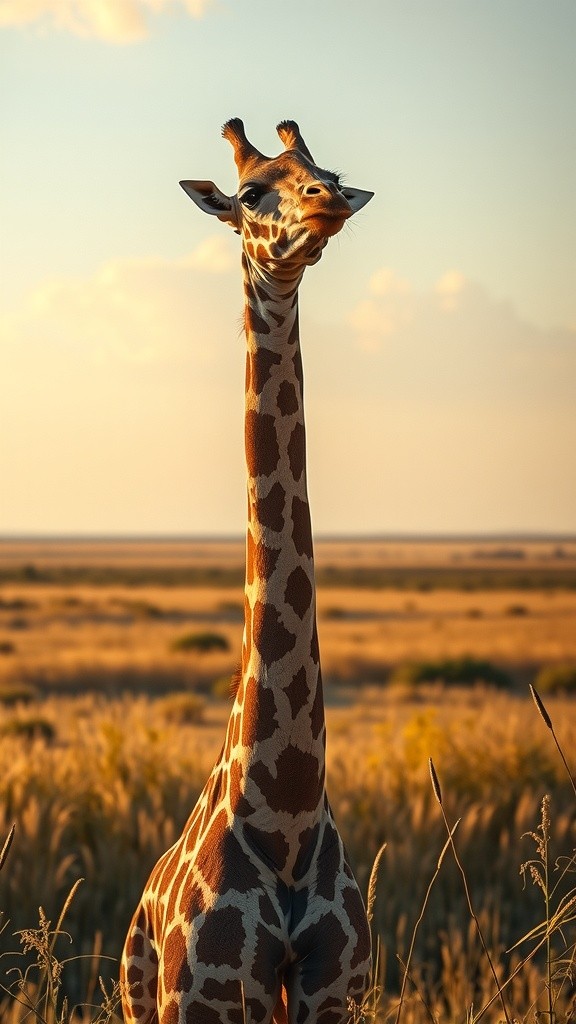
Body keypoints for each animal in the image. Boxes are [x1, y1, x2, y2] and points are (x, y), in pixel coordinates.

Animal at [121, 118, 374, 1024]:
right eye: (254, 191)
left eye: (327, 169)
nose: (327, 203)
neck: (288, 812)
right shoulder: (206, 995)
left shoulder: (338, 992)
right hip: (144, 999)